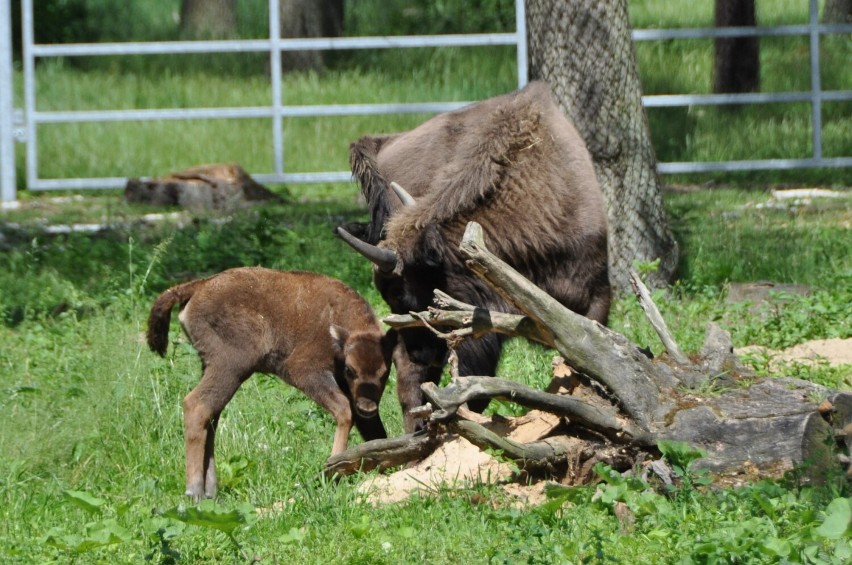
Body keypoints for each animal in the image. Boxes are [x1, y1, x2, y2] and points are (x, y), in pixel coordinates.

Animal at [147, 266, 396, 498]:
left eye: (385, 373)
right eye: (349, 369)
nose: (367, 406)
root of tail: (199, 285)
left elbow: (373, 428)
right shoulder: (304, 369)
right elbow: (344, 410)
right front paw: (333, 469)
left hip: (212, 367)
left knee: (211, 415)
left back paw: (210, 491)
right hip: (231, 367)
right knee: (196, 405)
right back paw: (195, 491)